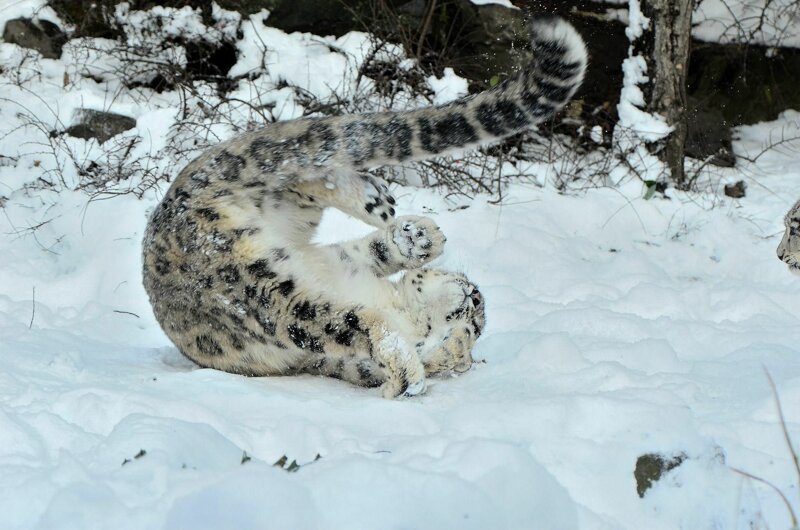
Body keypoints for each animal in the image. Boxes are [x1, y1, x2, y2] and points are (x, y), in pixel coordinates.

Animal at [141, 16, 584, 396]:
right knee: (308, 174)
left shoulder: (335, 268)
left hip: (272, 246)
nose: (476, 296)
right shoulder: (316, 288)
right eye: (476, 320)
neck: (391, 302)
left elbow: (364, 265)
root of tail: (179, 200)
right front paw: (422, 242)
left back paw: (375, 199)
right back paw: (376, 201)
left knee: (307, 175)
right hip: (253, 284)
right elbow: (354, 311)